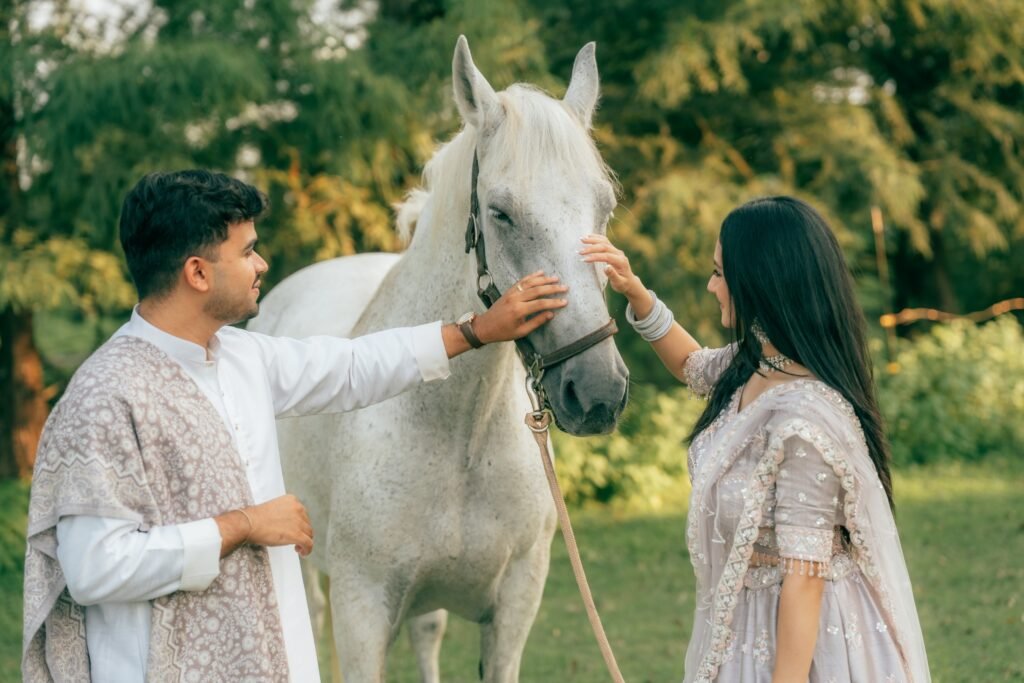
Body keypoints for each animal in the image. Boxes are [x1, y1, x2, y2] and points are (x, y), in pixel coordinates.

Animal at [248, 36, 629, 682]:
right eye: (500, 213)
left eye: (603, 207)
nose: (598, 392)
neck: (459, 434)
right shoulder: (362, 613)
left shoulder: (514, 609)